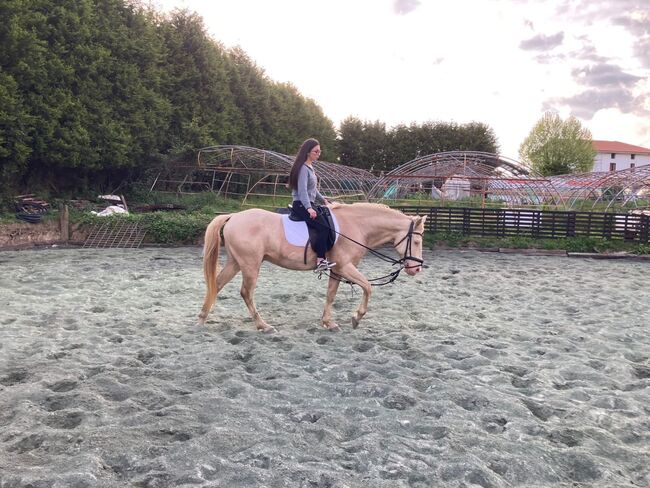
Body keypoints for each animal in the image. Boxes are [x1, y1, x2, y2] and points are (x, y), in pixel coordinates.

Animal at [197, 202, 426, 332]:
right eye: (416, 241)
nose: (416, 269)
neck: (356, 226)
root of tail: (233, 216)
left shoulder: (337, 269)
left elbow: (331, 295)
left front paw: (328, 322)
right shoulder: (346, 266)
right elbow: (368, 287)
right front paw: (356, 317)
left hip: (236, 262)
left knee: (216, 284)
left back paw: (202, 318)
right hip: (250, 265)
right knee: (246, 293)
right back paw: (263, 326)